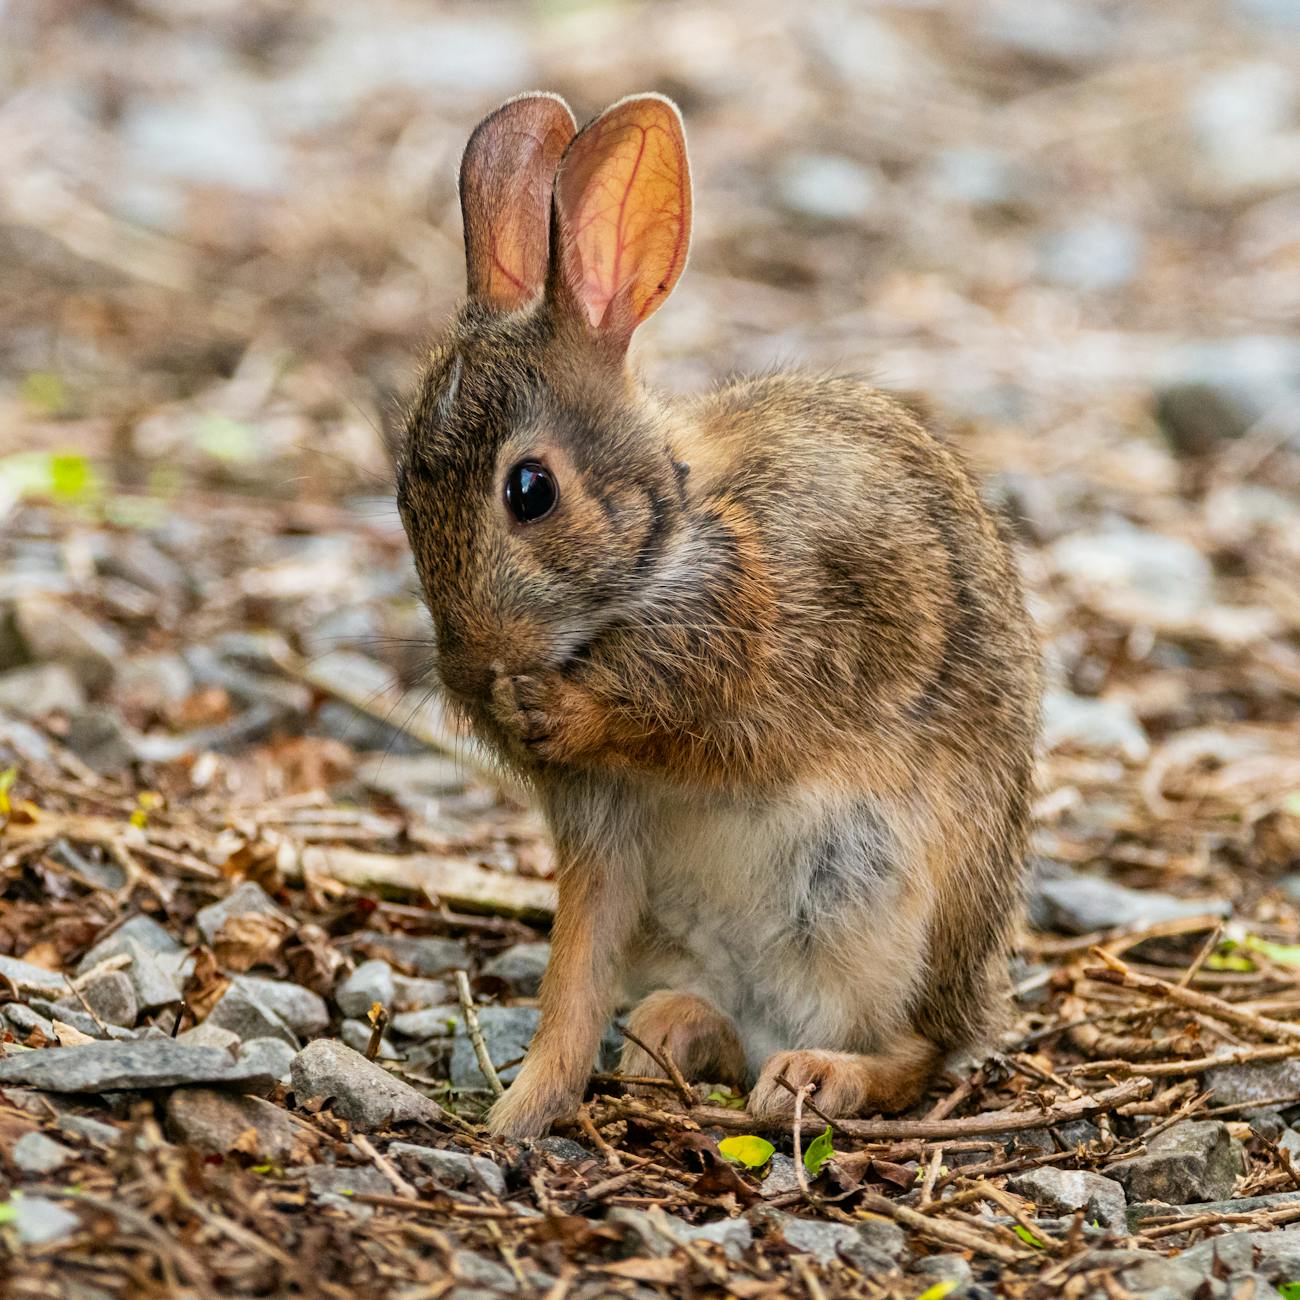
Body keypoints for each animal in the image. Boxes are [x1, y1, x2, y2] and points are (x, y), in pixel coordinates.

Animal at [396, 91, 1042, 1138]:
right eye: (402, 492)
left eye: (529, 490)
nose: (467, 673)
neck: (666, 541)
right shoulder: (602, 830)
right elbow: (572, 980)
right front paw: (523, 1113)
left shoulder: (769, 671)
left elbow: (702, 735)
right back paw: (672, 1036)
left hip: (911, 903)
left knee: (917, 1051)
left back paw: (816, 1077)